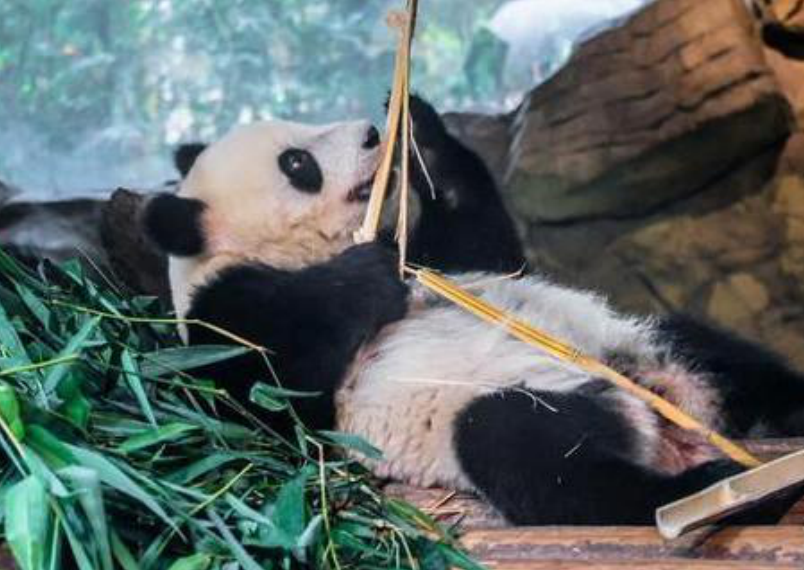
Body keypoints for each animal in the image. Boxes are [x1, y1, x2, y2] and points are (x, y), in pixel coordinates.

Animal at [143, 96, 804, 526]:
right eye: (298, 163)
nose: (370, 134)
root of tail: (659, 422)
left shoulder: (436, 255)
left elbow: (489, 249)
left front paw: (419, 126)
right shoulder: (222, 314)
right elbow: (265, 394)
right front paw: (362, 276)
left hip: (637, 346)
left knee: (724, 359)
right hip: (499, 409)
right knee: (534, 459)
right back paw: (703, 493)